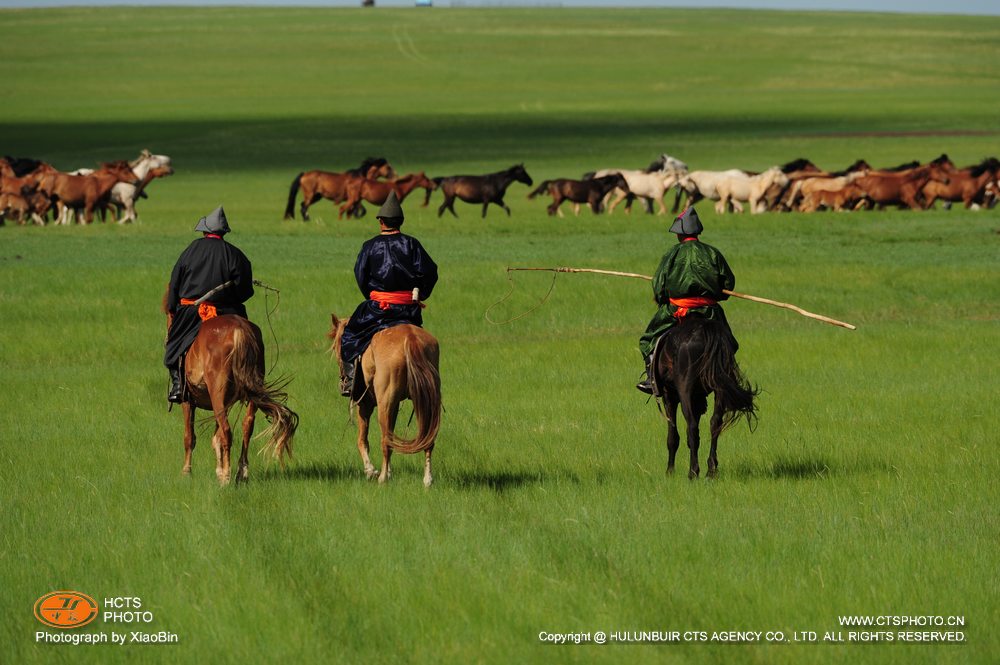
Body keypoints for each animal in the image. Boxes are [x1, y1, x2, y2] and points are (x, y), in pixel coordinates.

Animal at [166, 308, 298, 486]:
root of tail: (239, 330)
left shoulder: (188, 401)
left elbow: (189, 437)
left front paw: (187, 472)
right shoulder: (224, 404)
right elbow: (216, 437)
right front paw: (218, 469)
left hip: (216, 393)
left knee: (227, 431)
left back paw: (227, 478)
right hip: (251, 391)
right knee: (246, 426)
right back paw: (241, 472)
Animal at [328, 314, 442, 486]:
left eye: (336, 347)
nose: (343, 382)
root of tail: (410, 338)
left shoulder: (365, 405)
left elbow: (362, 440)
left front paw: (371, 471)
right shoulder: (394, 406)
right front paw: (387, 471)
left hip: (384, 404)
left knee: (385, 442)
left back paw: (382, 479)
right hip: (424, 400)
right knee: (427, 440)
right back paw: (427, 480)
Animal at [648, 316, 756, 478]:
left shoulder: (669, 396)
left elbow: (673, 436)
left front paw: (670, 471)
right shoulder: (698, 400)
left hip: (684, 392)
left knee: (692, 426)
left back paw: (693, 472)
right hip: (719, 391)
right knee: (715, 424)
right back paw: (711, 471)